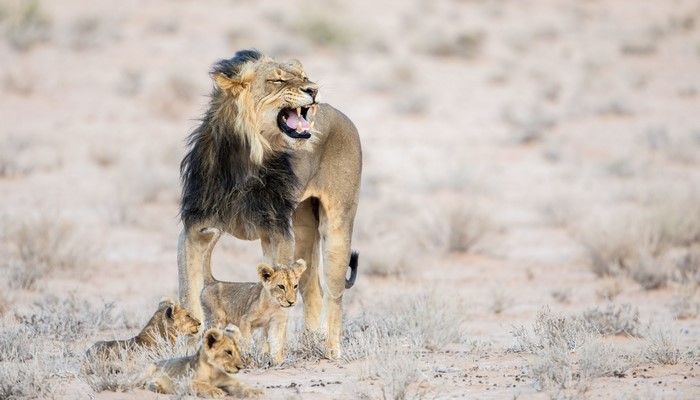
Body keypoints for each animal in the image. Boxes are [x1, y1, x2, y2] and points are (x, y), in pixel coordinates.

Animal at [198, 227, 307, 365]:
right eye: (281, 286)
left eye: (295, 286)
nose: (291, 302)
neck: (273, 305)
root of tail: (212, 281)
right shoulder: (245, 320)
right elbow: (247, 341)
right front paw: (249, 358)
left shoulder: (277, 322)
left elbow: (276, 343)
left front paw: (278, 361)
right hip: (216, 319)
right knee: (204, 336)